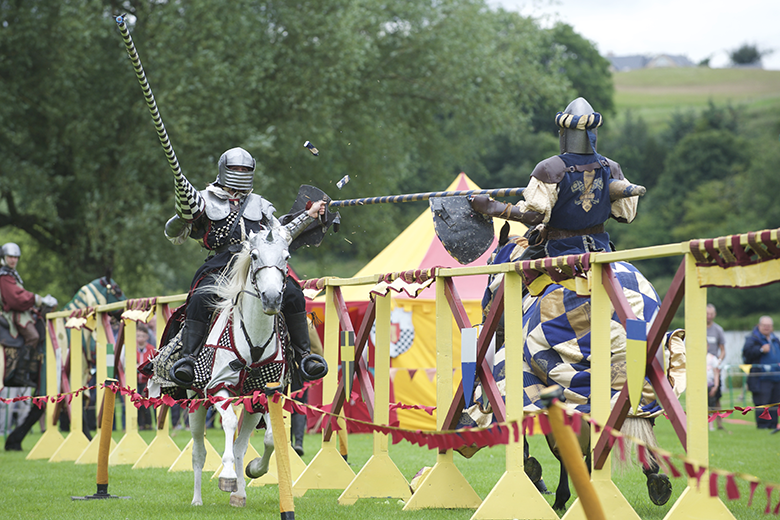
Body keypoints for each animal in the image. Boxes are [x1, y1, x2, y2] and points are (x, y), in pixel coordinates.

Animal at [149, 224, 292, 508]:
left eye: (286, 257)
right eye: (255, 256)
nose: (271, 299)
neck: (254, 339)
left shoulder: (262, 394)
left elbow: (269, 439)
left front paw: (254, 469)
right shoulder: (218, 387)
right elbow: (227, 421)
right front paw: (226, 475)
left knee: (239, 446)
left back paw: (239, 494)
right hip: (195, 402)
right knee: (198, 451)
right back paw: (197, 499)